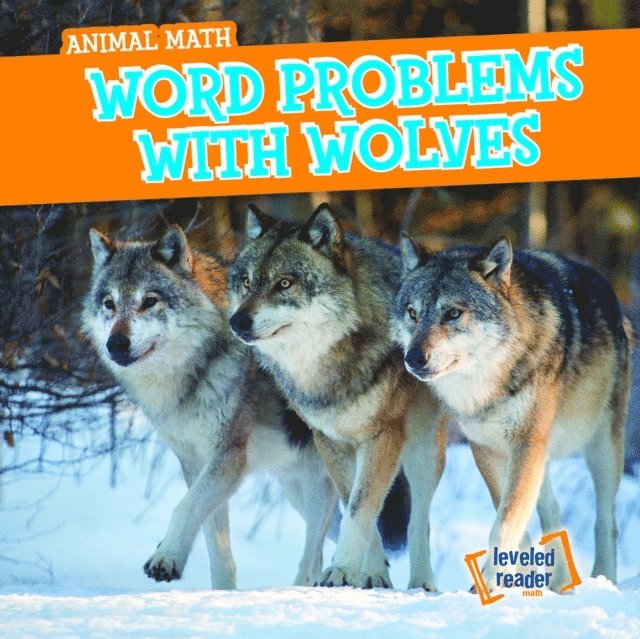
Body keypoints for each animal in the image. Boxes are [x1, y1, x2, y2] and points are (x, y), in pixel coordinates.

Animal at [82, 225, 340, 588]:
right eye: (109, 303)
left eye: (149, 301)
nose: (116, 343)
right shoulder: (195, 462)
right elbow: (216, 547)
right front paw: (221, 594)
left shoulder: (228, 457)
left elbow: (184, 508)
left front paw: (165, 558)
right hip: (299, 488)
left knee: (317, 552)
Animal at [227, 204, 444, 590]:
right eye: (247, 283)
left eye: (285, 283)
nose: (237, 322)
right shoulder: (330, 441)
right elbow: (357, 505)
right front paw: (368, 574)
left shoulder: (383, 436)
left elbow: (361, 507)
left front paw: (341, 570)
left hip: (423, 450)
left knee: (420, 520)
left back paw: (422, 583)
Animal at [395, 235, 633, 589]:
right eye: (412, 312)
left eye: (453, 313)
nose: (412, 359)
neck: (489, 383)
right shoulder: (487, 449)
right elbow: (511, 519)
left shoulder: (525, 443)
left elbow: (505, 522)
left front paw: (488, 585)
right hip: (543, 456)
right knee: (552, 511)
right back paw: (560, 586)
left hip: (601, 449)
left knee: (606, 521)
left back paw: (603, 580)